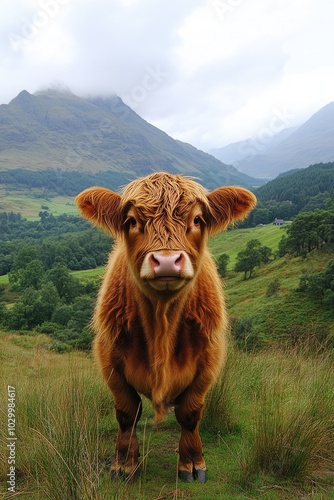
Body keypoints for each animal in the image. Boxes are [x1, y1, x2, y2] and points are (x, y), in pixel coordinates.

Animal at [76, 171, 256, 480]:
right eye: (132, 221)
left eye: (197, 219)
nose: (168, 261)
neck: (162, 320)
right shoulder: (109, 358)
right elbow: (127, 412)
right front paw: (124, 464)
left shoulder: (209, 360)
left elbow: (190, 412)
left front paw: (192, 463)